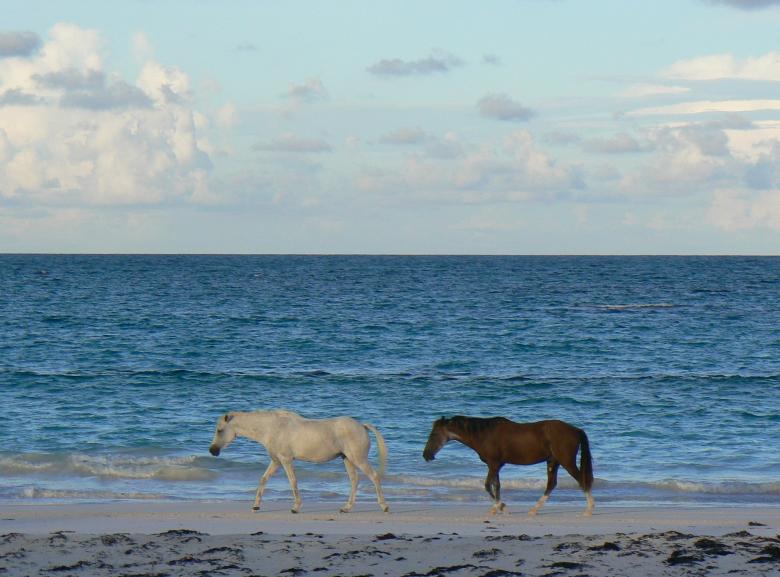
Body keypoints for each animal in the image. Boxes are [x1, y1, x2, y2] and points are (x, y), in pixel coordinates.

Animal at [209, 409, 389, 514]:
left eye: (220, 430)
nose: (212, 451)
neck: (272, 428)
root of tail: (362, 426)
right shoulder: (276, 461)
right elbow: (263, 479)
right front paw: (256, 506)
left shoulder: (285, 460)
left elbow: (293, 481)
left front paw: (295, 507)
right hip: (347, 460)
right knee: (354, 480)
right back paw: (346, 508)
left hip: (358, 459)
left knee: (374, 477)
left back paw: (384, 506)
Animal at [423, 416, 594, 516]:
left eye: (434, 434)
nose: (426, 455)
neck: (484, 435)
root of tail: (576, 430)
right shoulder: (496, 466)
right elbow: (496, 485)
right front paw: (497, 507)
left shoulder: (493, 464)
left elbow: (487, 485)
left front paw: (502, 506)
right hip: (553, 461)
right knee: (551, 484)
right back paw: (533, 510)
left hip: (566, 461)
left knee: (581, 480)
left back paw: (589, 509)